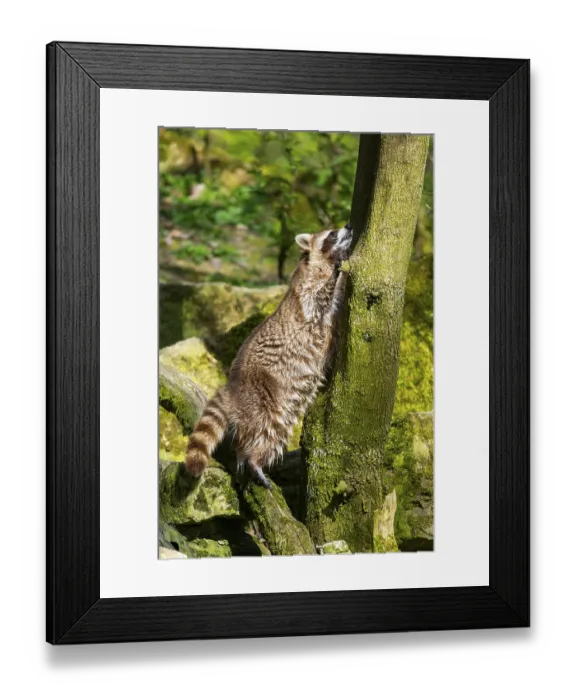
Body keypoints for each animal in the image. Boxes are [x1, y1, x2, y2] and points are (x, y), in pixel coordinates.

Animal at [185, 224, 353, 488]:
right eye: (332, 234)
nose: (349, 227)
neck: (319, 262)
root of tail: (233, 386)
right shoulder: (307, 293)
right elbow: (320, 298)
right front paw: (336, 275)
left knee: (275, 434)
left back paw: (255, 459)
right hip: (262, 396)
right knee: (261, 430)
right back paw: (251, 458)